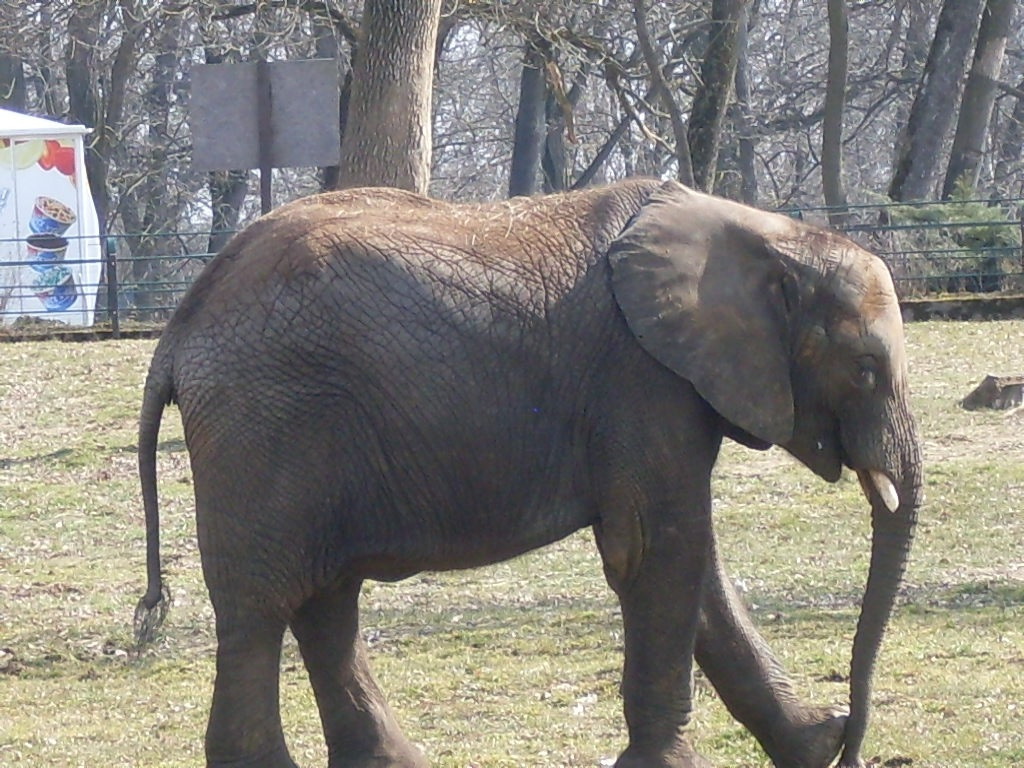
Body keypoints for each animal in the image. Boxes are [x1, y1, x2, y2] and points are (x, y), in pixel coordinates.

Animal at [135, 178, 922, 768]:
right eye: (865, 368)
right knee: (262, 608)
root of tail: (179, 326)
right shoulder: (641, 379)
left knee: (325, 604)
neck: (767, 233)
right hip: (264, 423)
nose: (856, 745)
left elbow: (689, 563)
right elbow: (658, 551)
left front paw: (813, 746)